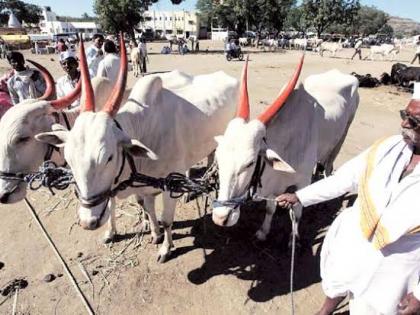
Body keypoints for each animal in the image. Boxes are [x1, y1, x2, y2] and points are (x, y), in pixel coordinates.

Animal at [36, 35, 240, 262]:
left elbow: (166, 220)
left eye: (109, 157)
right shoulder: (145, 187)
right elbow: (148, 208)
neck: (145, 128)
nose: (88, 222)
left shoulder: (169, 187)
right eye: (69, 159)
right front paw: (155, 234)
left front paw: (165, 248)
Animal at [212, 57, 360, 244]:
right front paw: (263, 232)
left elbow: (297, 212)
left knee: (328, 166)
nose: (220, 217)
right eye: (218, 159)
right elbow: (270, 208)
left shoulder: (302, 182)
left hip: (343, 135)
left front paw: (294, 237)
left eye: (250, 163)